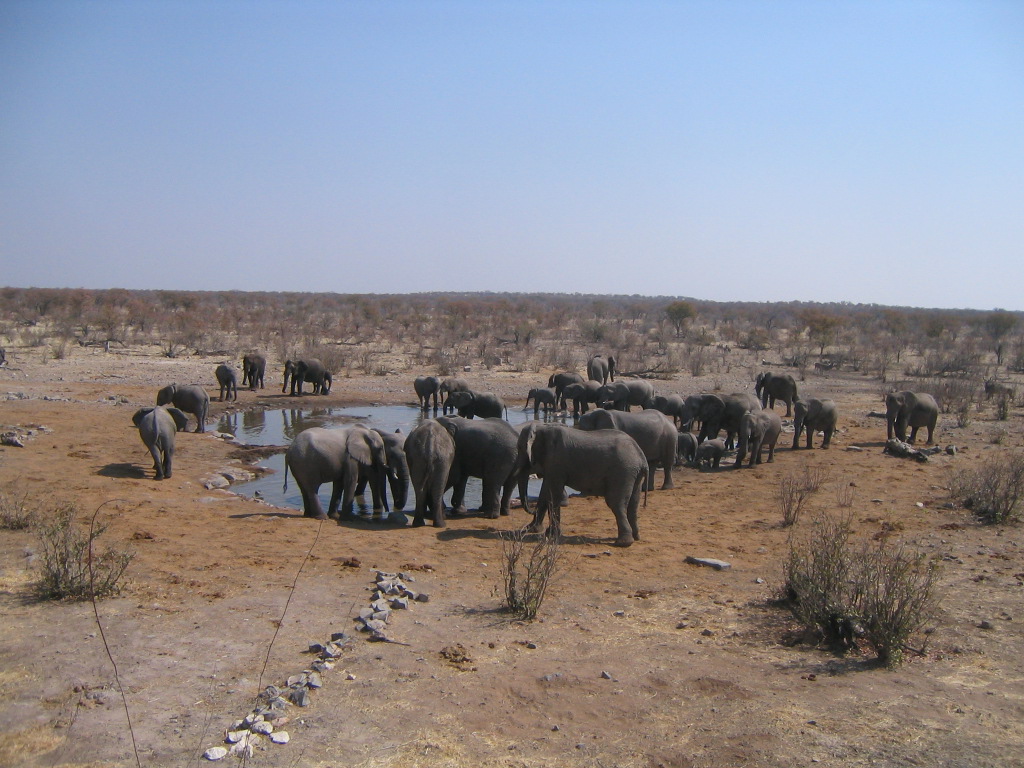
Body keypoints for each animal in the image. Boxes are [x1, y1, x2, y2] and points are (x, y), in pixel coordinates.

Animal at [512, 422, 647, 547]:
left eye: (520, 447)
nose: (531, 510)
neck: (542, 427)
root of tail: (641, 456)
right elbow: (545, 492)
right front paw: (534, 530)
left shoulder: (556, 461)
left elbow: (553, 494)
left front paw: (551, 534)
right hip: (634, 473)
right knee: (633, 504)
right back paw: (636, 537)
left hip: (622, 472)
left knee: (616, 503)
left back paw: (622, 543)